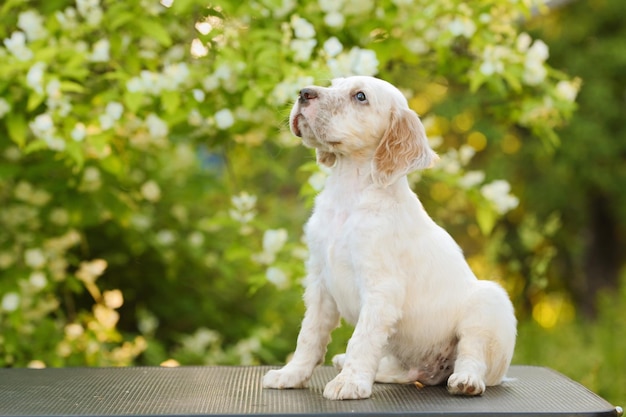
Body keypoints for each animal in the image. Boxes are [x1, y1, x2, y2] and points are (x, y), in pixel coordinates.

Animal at [260, 75, 516, 400]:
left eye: (360, 96)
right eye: (334, 83)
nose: (304, 93)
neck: (348, 194)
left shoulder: (381, 289)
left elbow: (362, 339)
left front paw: (348, 382)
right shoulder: (319, 284)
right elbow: (309, 335)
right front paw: (291, 374)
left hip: (488, 302)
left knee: (472, 354)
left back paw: (466, 380)